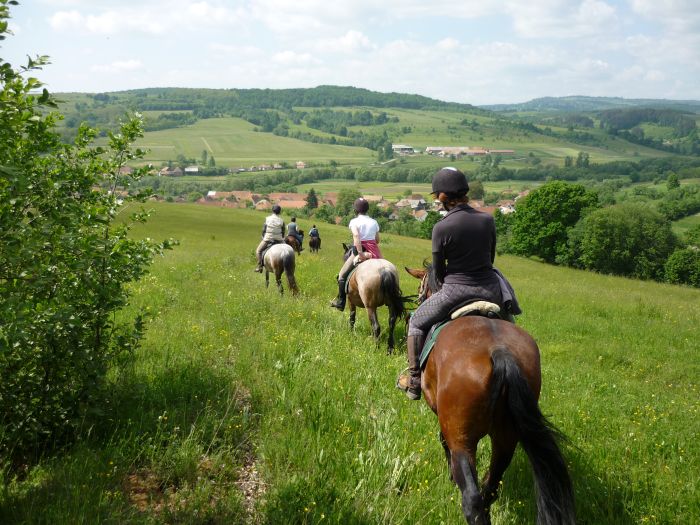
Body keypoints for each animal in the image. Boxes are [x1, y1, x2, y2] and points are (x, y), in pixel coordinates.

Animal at [404, 266, 576, 524]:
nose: (418, 297)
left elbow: (442, 440)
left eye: (420, 286)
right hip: (506, 438)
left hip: (463, 439)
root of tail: (500, 352)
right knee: (491, 487)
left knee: (472, 499)